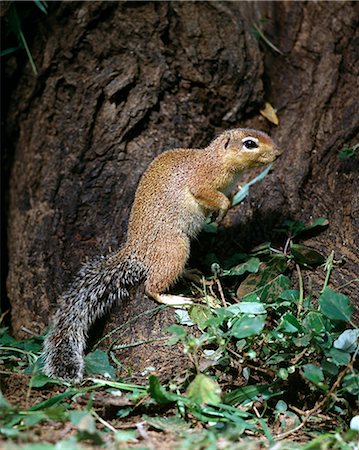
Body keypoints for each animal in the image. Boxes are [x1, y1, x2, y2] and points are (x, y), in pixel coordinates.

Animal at [43, 128, 282, 382]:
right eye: (250, 144)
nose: (278, 153)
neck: (216, 159)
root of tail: (137, 252)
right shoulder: (203, 181)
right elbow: (213, 196)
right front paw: (224, 209)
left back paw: (192, 273)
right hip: (175, 248)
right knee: (151, 288)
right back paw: (175, 298)